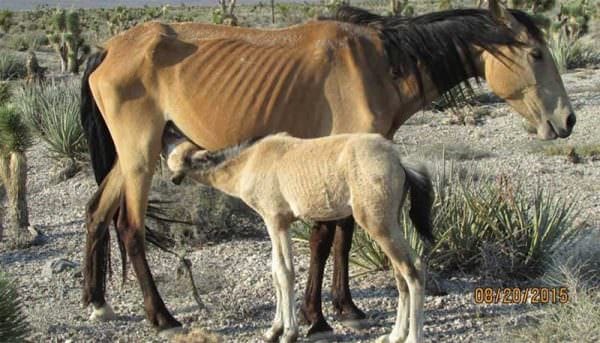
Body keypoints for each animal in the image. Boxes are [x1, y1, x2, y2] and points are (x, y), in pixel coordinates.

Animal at [78, 0, 572, 338]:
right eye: (536, 53)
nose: (567, 120)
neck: (376, 64)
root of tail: (107, 48)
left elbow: (337, 236)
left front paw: (340, 309)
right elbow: (327, 237)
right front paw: (319, 317)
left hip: (128, 158)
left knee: (96, 212)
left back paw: (97, 302)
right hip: (141, 156)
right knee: (130, 227)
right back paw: (162, 316)